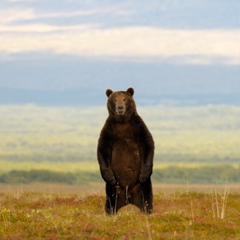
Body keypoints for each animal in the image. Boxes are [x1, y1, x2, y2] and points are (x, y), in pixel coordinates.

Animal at [97, 87, 155, 215]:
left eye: (124, 98)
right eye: (115, 99)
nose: (120, 107)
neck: (122, 121)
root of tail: (128, 199)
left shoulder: (138, 127)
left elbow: (148, 144)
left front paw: (144, 173)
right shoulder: (109, 131)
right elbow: (102, 150)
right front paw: (108, 176)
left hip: (142, 187)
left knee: (146, 199)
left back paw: (147, 211)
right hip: (114, 189)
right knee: (110, 201)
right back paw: (110, 212)